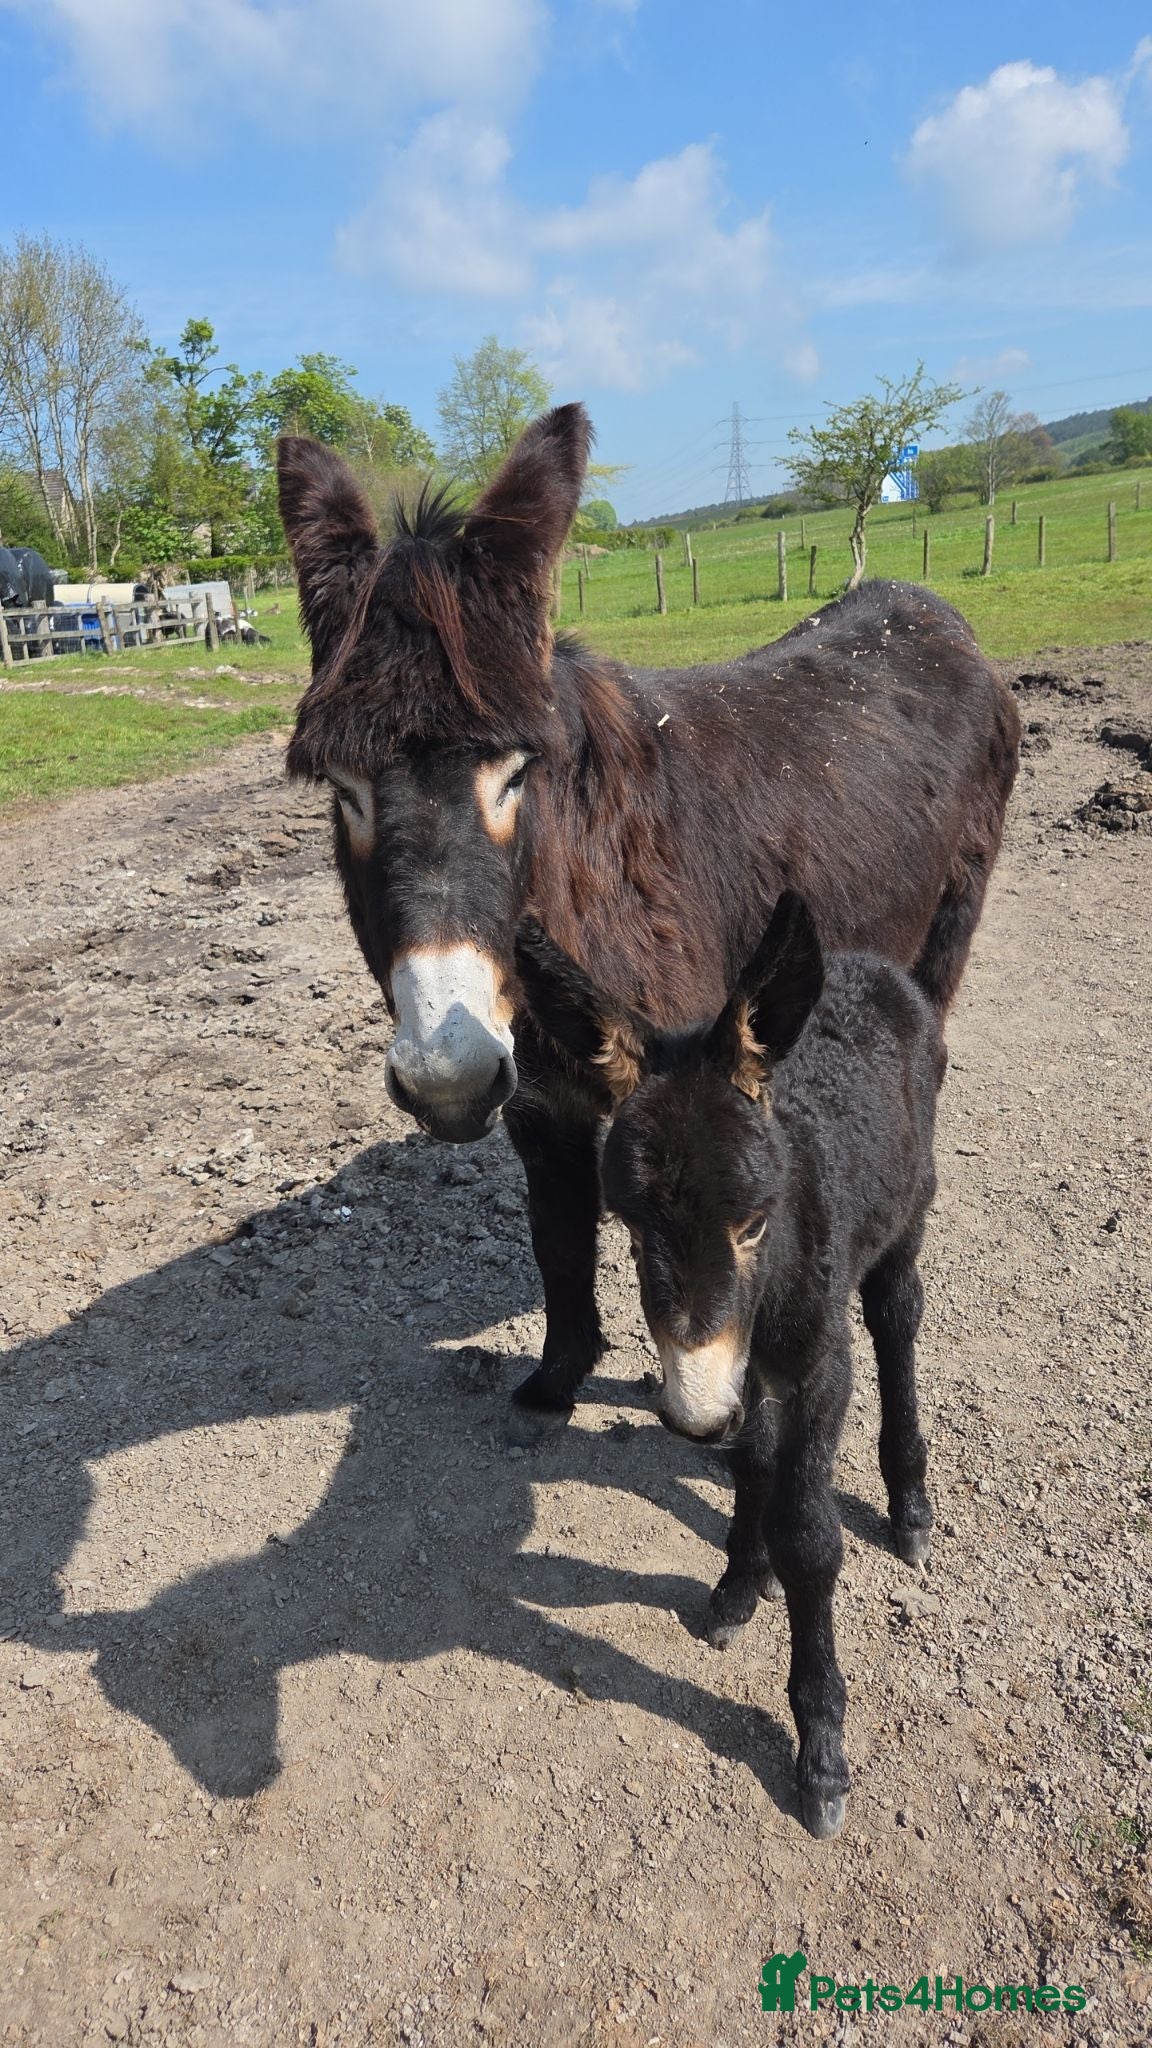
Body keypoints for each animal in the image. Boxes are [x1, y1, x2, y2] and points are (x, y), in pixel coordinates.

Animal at [277, 403, 1019, 1437]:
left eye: (517, 773)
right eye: (341, 791)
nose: (448, 1077)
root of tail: (928, 607)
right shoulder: (539, 1100)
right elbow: (558, 1243)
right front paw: (557, 1380)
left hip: (951, 918)